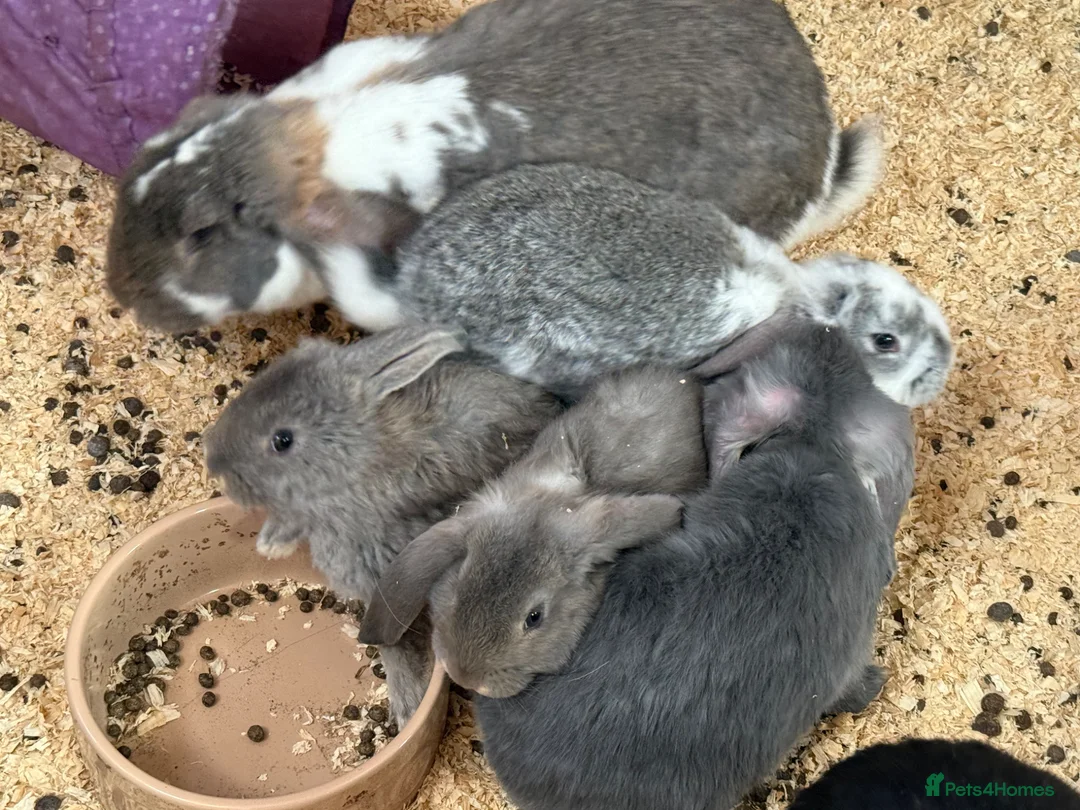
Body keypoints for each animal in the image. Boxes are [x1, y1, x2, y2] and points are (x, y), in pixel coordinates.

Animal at [202, 325, 562, 724]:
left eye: (283, 440)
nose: (213, 461)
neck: (360, 459)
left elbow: (395, 646)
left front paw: (406, 705)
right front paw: (268, 544)